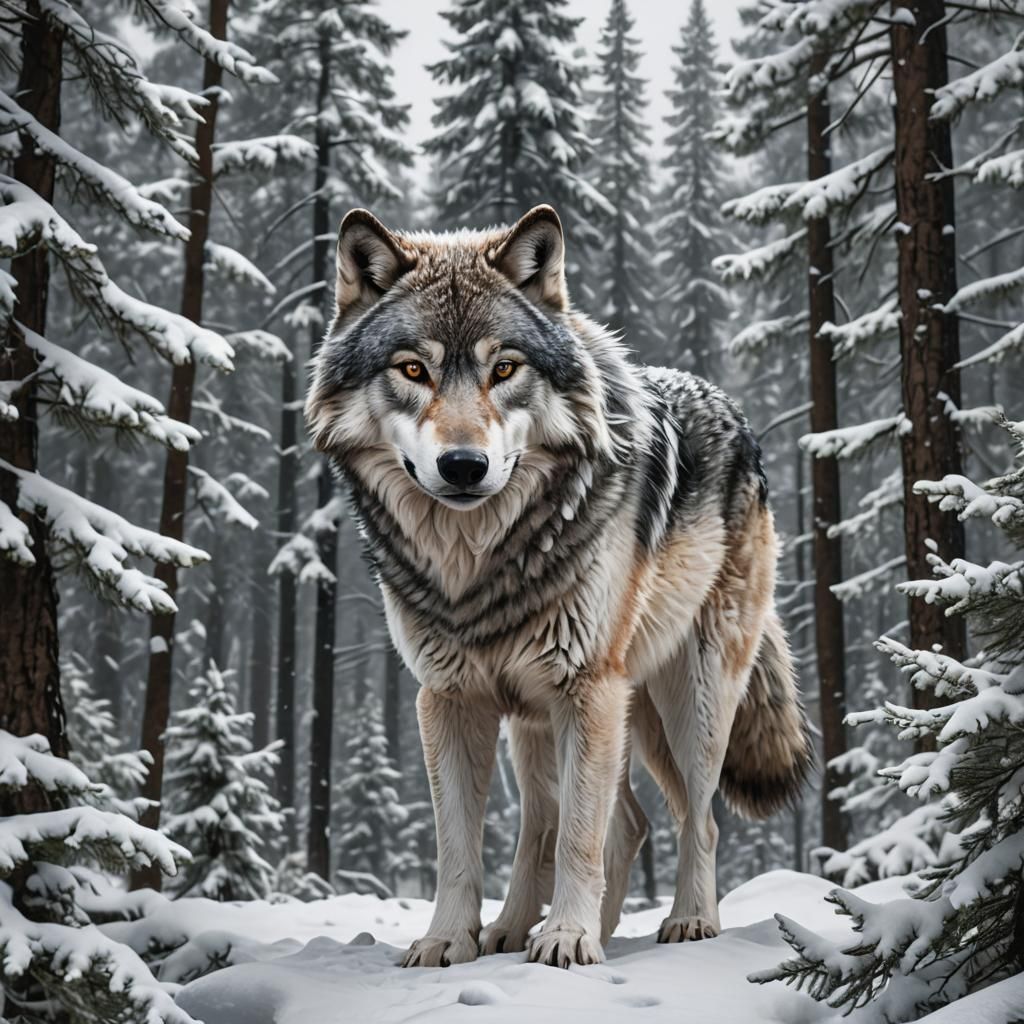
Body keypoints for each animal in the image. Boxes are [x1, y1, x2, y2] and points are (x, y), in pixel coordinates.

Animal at [305, 204, 813, 969]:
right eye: (414, 369)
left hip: (686, 697)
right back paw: (518, 930)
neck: (478, 564)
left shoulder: (589, 689)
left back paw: (685, 921)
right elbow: (461, 846)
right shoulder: (448, 697)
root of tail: (735, 413)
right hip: (539, 717)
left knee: (692, 817)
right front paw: (449, 940)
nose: (463, 466)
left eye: (505, 368)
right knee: (598, 822)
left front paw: (570, 938)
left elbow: (578, 834)